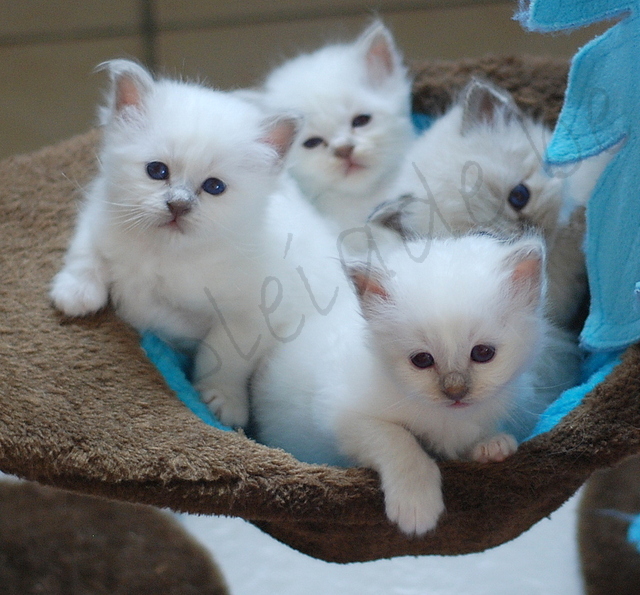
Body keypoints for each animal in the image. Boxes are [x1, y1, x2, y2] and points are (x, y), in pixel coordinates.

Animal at [52, 59, 348, 428]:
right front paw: (75, 294)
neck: (163, 254)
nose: (178, 205)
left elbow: (222, 354)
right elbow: (86, 252)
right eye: (157, 170)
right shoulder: (99, 212)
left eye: (214, 187)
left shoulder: (254, 313)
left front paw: (222, 400)